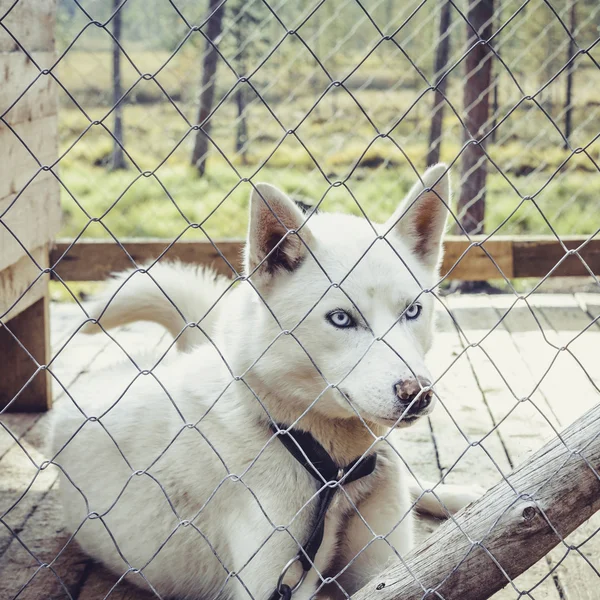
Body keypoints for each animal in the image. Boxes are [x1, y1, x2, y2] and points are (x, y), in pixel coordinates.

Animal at [51, 163, 476, 600]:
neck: (328, 470)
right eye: (341, 318)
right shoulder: (273, 582)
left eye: (413, 310)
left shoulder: (388, 568)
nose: (417, 394)